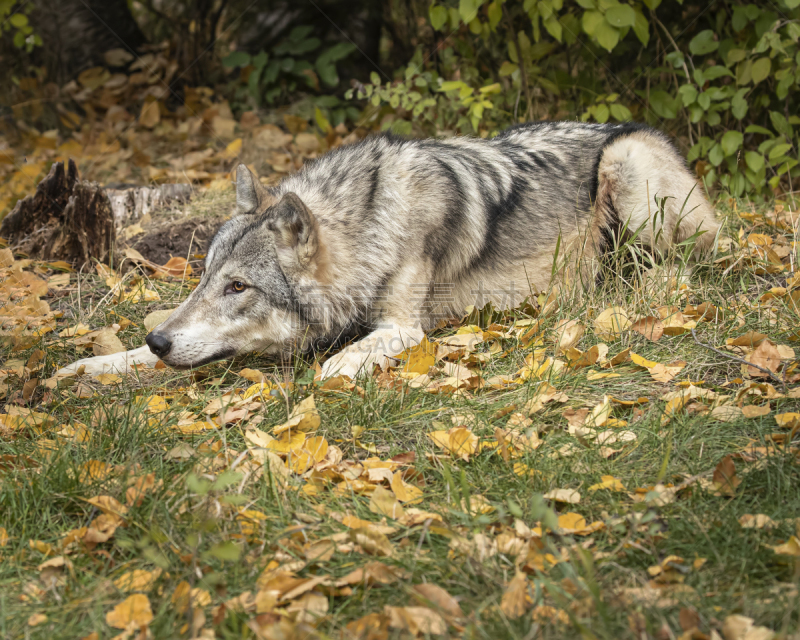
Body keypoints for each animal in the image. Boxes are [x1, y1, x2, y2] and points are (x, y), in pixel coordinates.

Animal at [61, 120, 720, 380]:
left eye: (238, 287)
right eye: (204, 279)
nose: (160, 340)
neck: (371, 226)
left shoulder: (405, 328)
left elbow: (340, 359)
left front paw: (331, 372)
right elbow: (121, 359)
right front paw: (89, 367)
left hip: (626, 170)